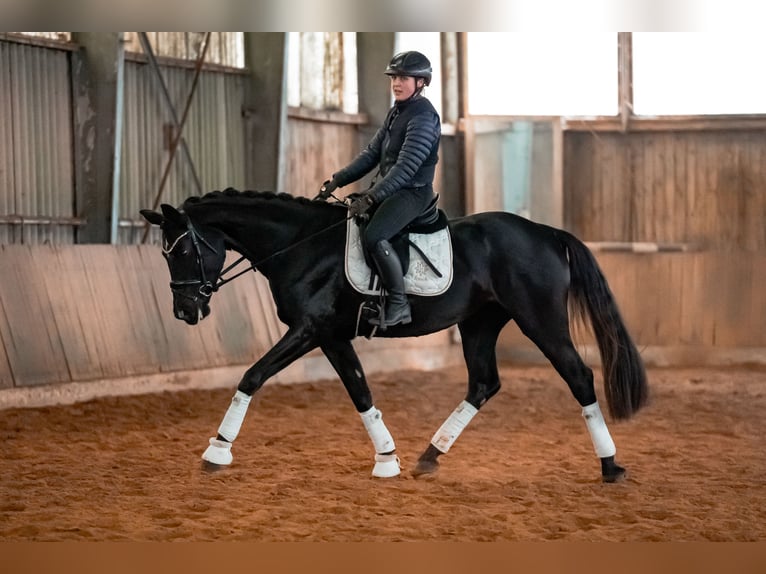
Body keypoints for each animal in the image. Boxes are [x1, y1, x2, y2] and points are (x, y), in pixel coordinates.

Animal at [140, 188, 648, 483]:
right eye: (163, 254)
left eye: (181, 249)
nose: (186, 310)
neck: (302, 245)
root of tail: (545, 232)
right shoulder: (330, 336)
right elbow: (361, 392)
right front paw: (387, 459)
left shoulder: (310, 329)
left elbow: (251, 376)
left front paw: (217, 451)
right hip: (480, 323)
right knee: (484, 383)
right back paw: (429, 458)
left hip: (540, 320)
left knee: (579, 377)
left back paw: (610, 466)